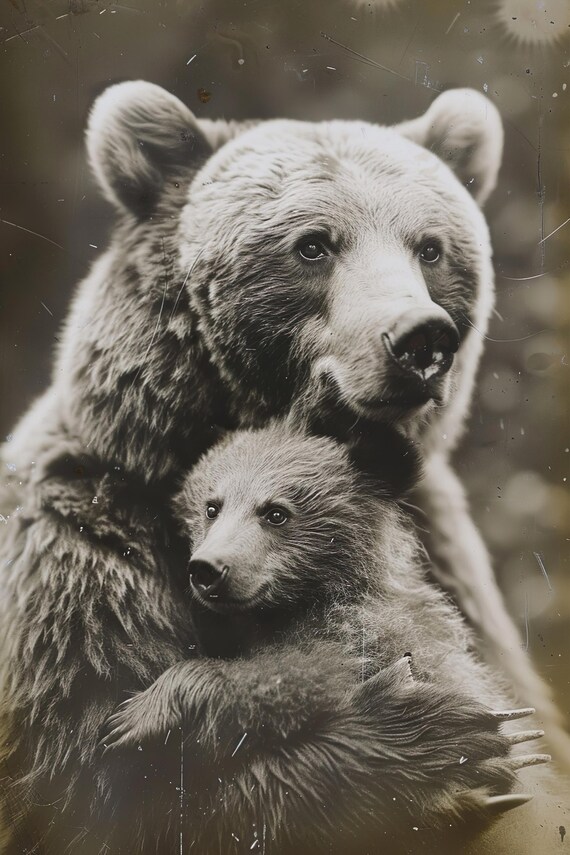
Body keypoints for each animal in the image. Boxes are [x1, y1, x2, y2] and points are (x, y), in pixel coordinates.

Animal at [100, 422, 550, 855]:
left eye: (276, 512)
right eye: (212, 506)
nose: (208, 568)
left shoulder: (365, 631)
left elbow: (307, 671)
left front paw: (140, 714)